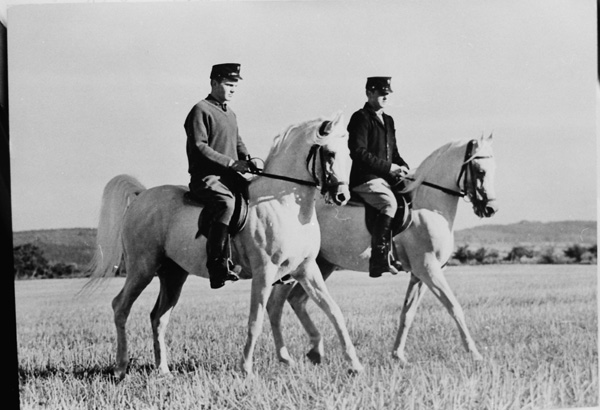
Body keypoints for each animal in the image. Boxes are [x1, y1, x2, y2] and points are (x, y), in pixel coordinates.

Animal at [84, 111, 366, 378]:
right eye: (329, 153)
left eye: (348, 154)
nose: (342, 196)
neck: (283, 205)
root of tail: (142, 196)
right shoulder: (264, 272)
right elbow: (255, 320)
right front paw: (246, 368)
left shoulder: (306, 269)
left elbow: (334, 311)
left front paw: (353, 365)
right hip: (142, 267)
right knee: (120, 307)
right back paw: (120, 367)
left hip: (173, 274)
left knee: (158, 317)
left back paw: (162, 369)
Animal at [266, 134, 497, 366]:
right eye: (480, 171)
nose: (491, 209)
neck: (428, 206)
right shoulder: (429, 269)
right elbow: (454, 307)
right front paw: (475, 354)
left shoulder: (420, 275)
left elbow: (407, 314)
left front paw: (398, 355)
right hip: (297, 266)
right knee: (275, 306)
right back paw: (286, 358)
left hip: (323, 265)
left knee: (296, 300)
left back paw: (313, 352)